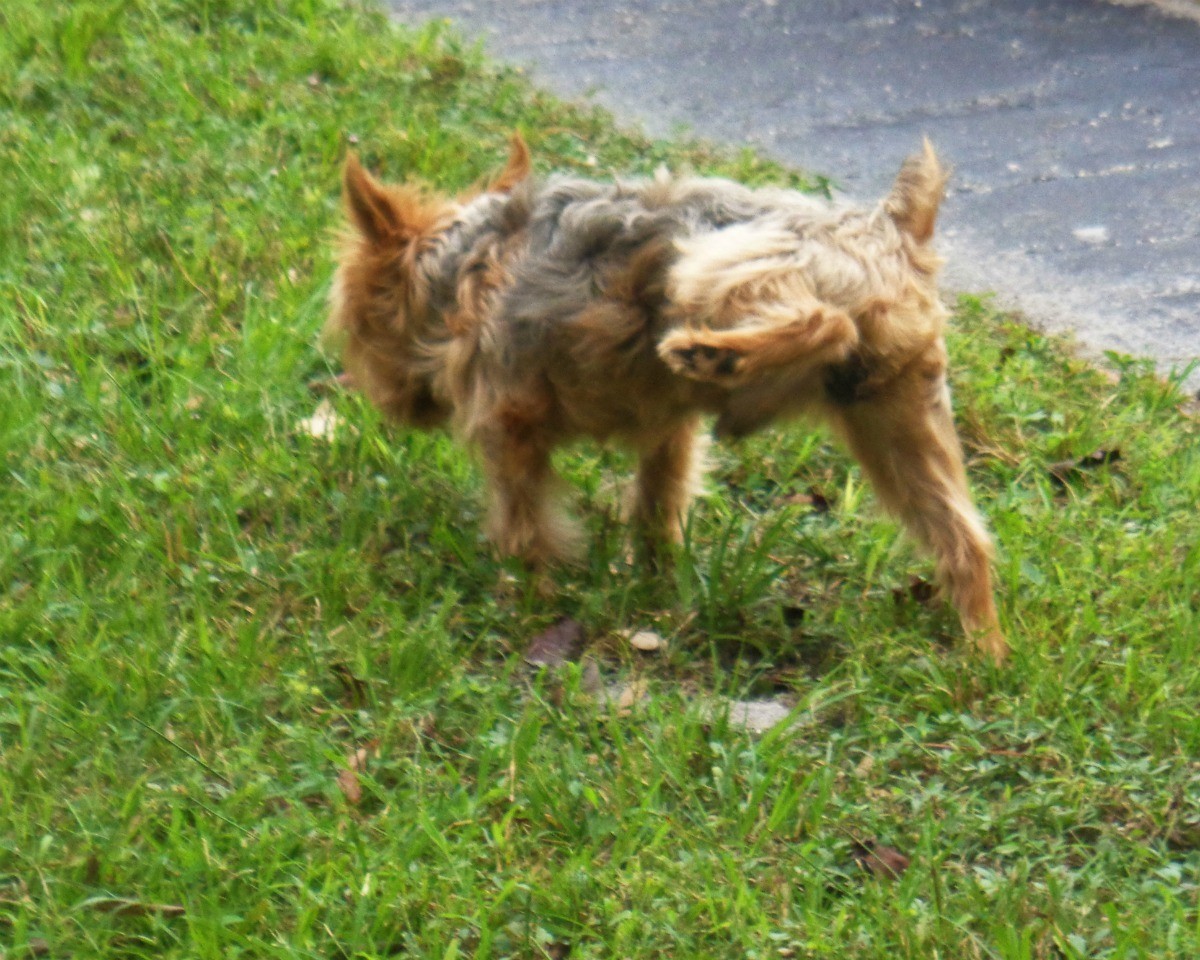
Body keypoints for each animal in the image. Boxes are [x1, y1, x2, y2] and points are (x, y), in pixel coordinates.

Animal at [328, 135, 1012, 662]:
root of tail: (891, 226)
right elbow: (657, 505)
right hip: (896, 418)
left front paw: (527, 598)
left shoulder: (508, 421)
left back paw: (716, 353)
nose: (386, 401)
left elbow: (524, 522)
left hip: (709, 267)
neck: (467, 262)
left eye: (355, 328)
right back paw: (987, 653)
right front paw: (657, 586)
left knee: (825, 320)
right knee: (964, 537)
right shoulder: (670, 430)